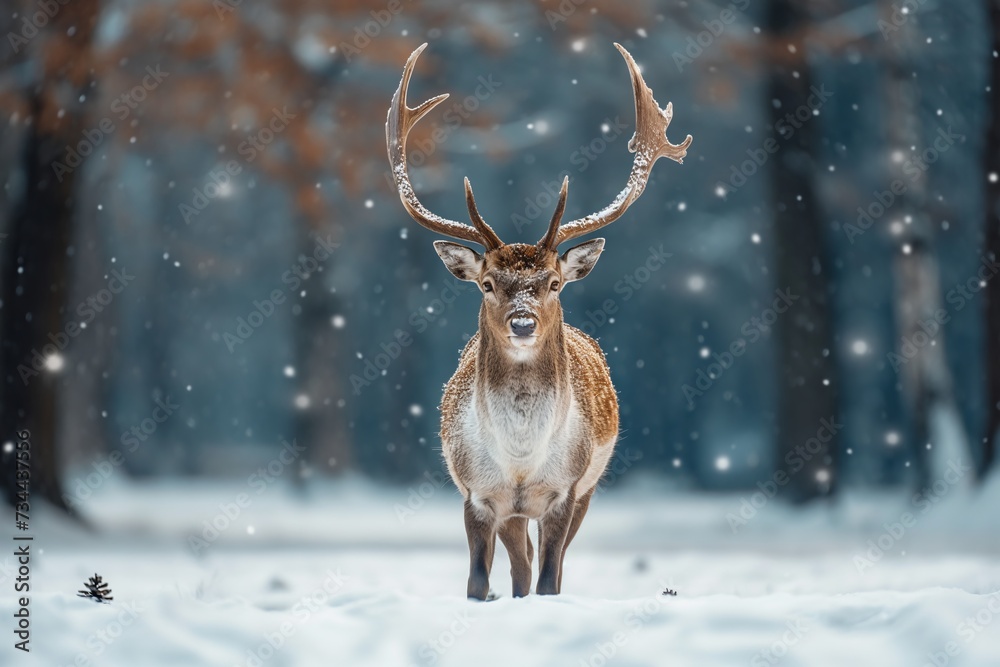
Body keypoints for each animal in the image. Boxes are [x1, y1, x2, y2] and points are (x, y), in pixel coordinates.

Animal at [386, 42, 692, 599]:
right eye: (487, 283)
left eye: (554, 282)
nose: (523, 323)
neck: (521, 462)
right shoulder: (477, 494)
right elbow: (479, 581)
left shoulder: (565, 489)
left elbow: (551, 578)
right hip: (512, 513)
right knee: (519, 566)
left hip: (588, 487)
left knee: (545, 565)